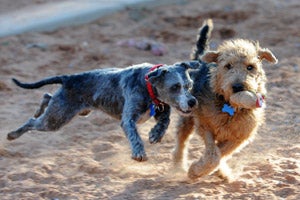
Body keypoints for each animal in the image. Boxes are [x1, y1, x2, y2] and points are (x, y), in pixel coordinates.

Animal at [7, 61, 199, 162]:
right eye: (175, 87)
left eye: (189, 85)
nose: (192, 101)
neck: (148, 86)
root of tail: (68, 78)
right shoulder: (128, 119)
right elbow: (135, 136)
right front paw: (139, 152)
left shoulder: (161, 110)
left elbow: (165, 120)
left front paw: (155, 134)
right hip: (56, 119)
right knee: (32, 121)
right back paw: (12, 134)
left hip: (66, 110)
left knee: (47, 96)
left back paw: (37, 110)